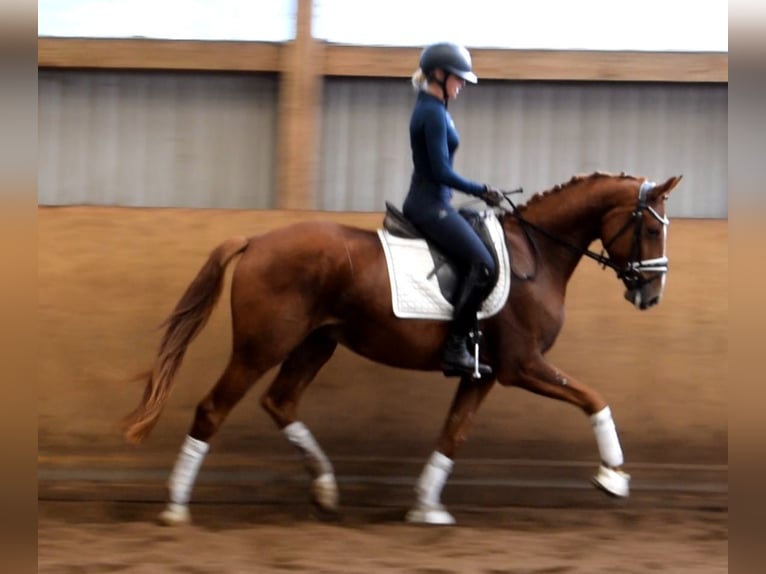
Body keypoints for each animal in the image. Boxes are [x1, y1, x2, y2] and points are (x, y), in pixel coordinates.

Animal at [123, 170, 688, 528]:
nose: (652, 295)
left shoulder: (484, 373)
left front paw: (425, 508)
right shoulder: (522, 366)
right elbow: (594, 398)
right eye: (651, 227)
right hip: (261, 347)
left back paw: (325, 490)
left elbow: (453, 434)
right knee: (213, 408)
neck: (538, 255)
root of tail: (258, 240)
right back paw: (175, 507)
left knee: (279, 402)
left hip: (316, 343)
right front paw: (612, 478)